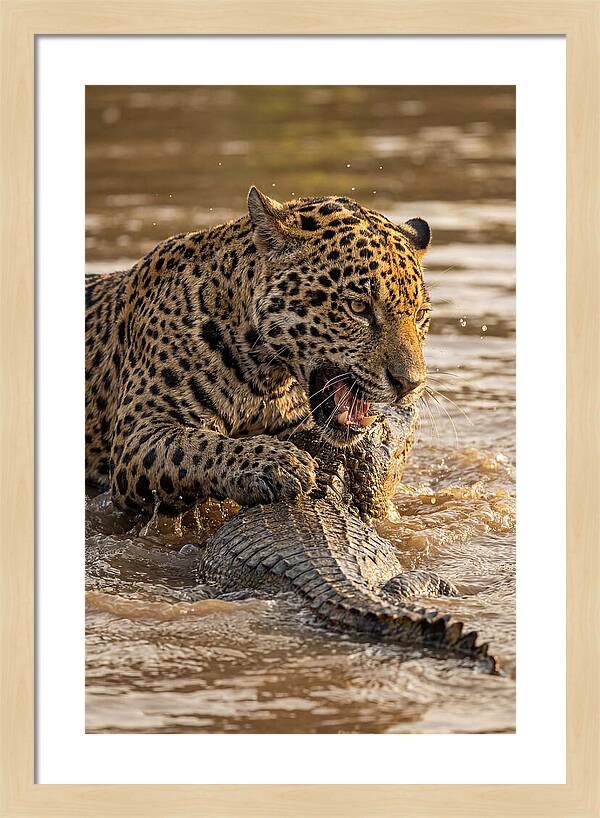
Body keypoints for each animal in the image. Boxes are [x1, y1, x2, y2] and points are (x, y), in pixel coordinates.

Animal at [85, 187, 432, 514]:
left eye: (419, 315)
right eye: (358, 307)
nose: (410, 384)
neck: (265, 378)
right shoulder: (138, 435)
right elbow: (197, 445)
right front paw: (277, 464)